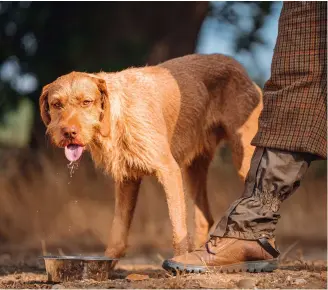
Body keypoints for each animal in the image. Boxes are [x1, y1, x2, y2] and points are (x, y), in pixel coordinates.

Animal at [39, 53, 262, 258]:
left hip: (244, 161)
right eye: (57, 104)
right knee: (204, 219)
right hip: (193, 169)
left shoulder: (169, 171)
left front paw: (178, 261)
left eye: (86, 102)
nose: (68, 133)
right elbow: (118, 233)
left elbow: (178, 229)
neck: (117, 117)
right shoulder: (127, 179)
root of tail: (240, 67)